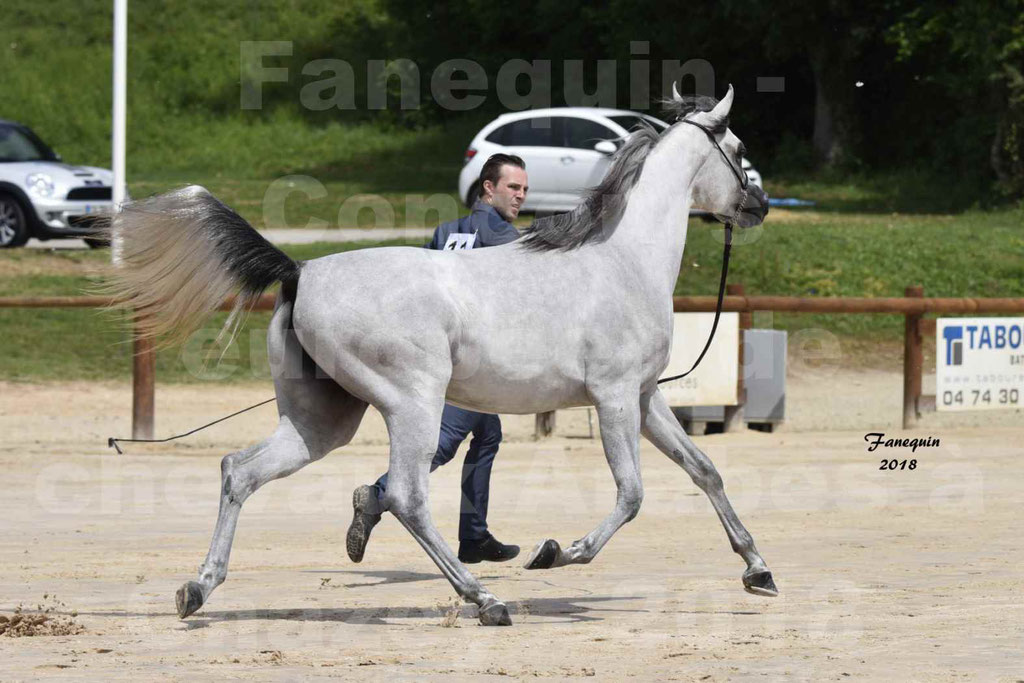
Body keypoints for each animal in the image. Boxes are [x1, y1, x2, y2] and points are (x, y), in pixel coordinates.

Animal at [105, 83, 774, 626]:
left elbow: (704, 470)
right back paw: (485, 599)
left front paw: (758, 570)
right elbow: (631, 495)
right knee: (406, 496)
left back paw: (197, 590)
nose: (760, 207)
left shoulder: (644, 397)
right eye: (739, 147)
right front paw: (558, 553)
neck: (622, 259)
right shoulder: (612, 398)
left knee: (239, 471)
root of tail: (300, 270)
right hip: (412, 405)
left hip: (322, 421)